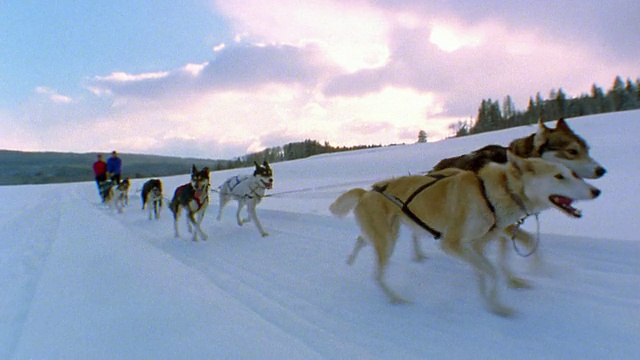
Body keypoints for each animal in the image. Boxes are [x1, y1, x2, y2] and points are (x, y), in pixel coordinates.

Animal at [332, 153, 604, 316]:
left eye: (573, 173)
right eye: (558, 176)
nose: (596, 191)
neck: (490, 194)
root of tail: (367, 191)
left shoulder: (480, 244)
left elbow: (492, 269)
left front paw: (493, 296)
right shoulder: (453, 245)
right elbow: (493, 272)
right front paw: (496, 303)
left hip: (388, 234)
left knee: (362, 240)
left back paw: (350, 259)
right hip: (387, 241)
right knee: (377, 274)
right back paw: (396, 298)